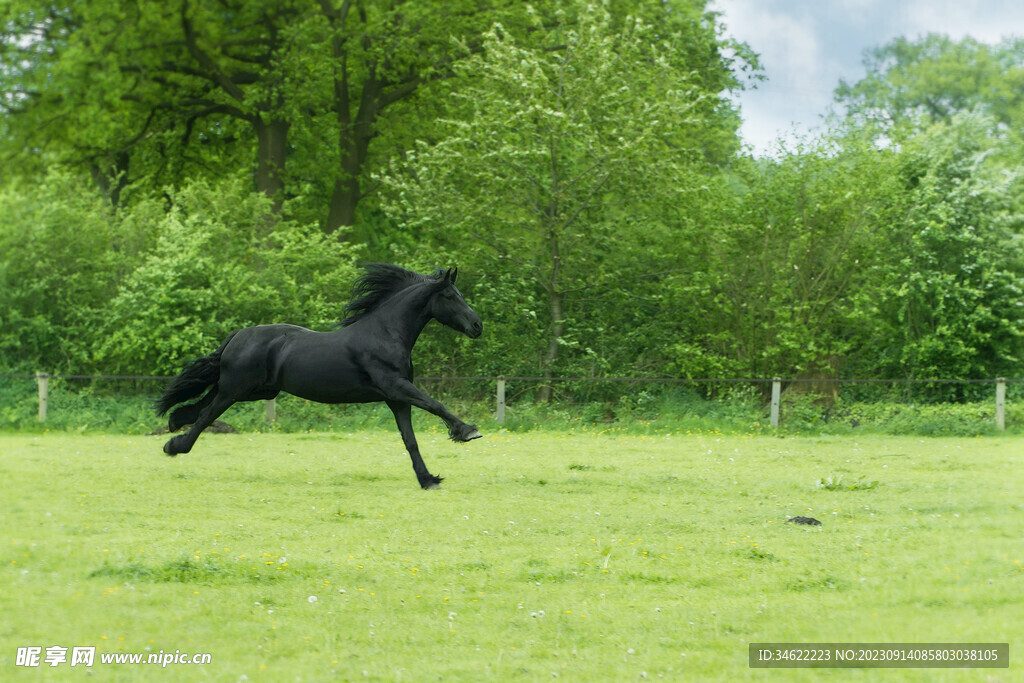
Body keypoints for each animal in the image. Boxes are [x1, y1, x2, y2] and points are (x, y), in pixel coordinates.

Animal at [154, 264, 483, 489]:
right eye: (451, 296)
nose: (478, 326)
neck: (386, 333)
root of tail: (238, 335)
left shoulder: (396, 399)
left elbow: (410, 439)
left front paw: (428, 478)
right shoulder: (396, 387)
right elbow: (435, 405)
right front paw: (467, 431)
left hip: (255, 390)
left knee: (200, 406)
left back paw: (174, 422)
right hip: (237, 388)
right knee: (206, 414)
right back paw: (175, 446)